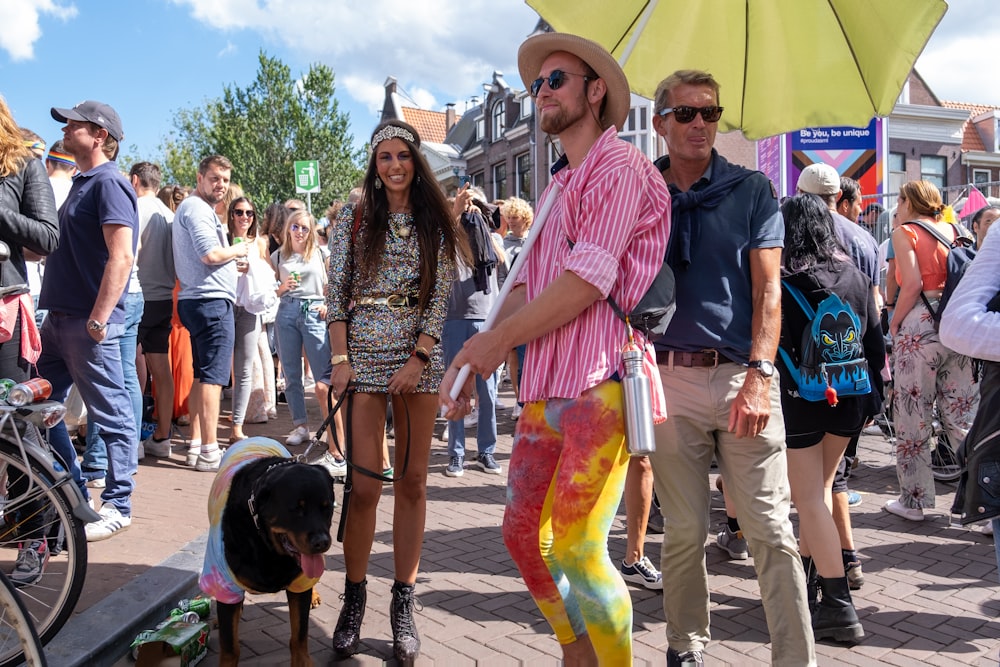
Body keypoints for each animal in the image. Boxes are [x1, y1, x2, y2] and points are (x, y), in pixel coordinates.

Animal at [207, 444, 336, 667]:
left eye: (326, 507)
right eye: (297, 508)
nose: (322, 542)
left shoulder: (299, 583)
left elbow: (299, 636)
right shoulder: (225, 582)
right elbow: (230, 647)